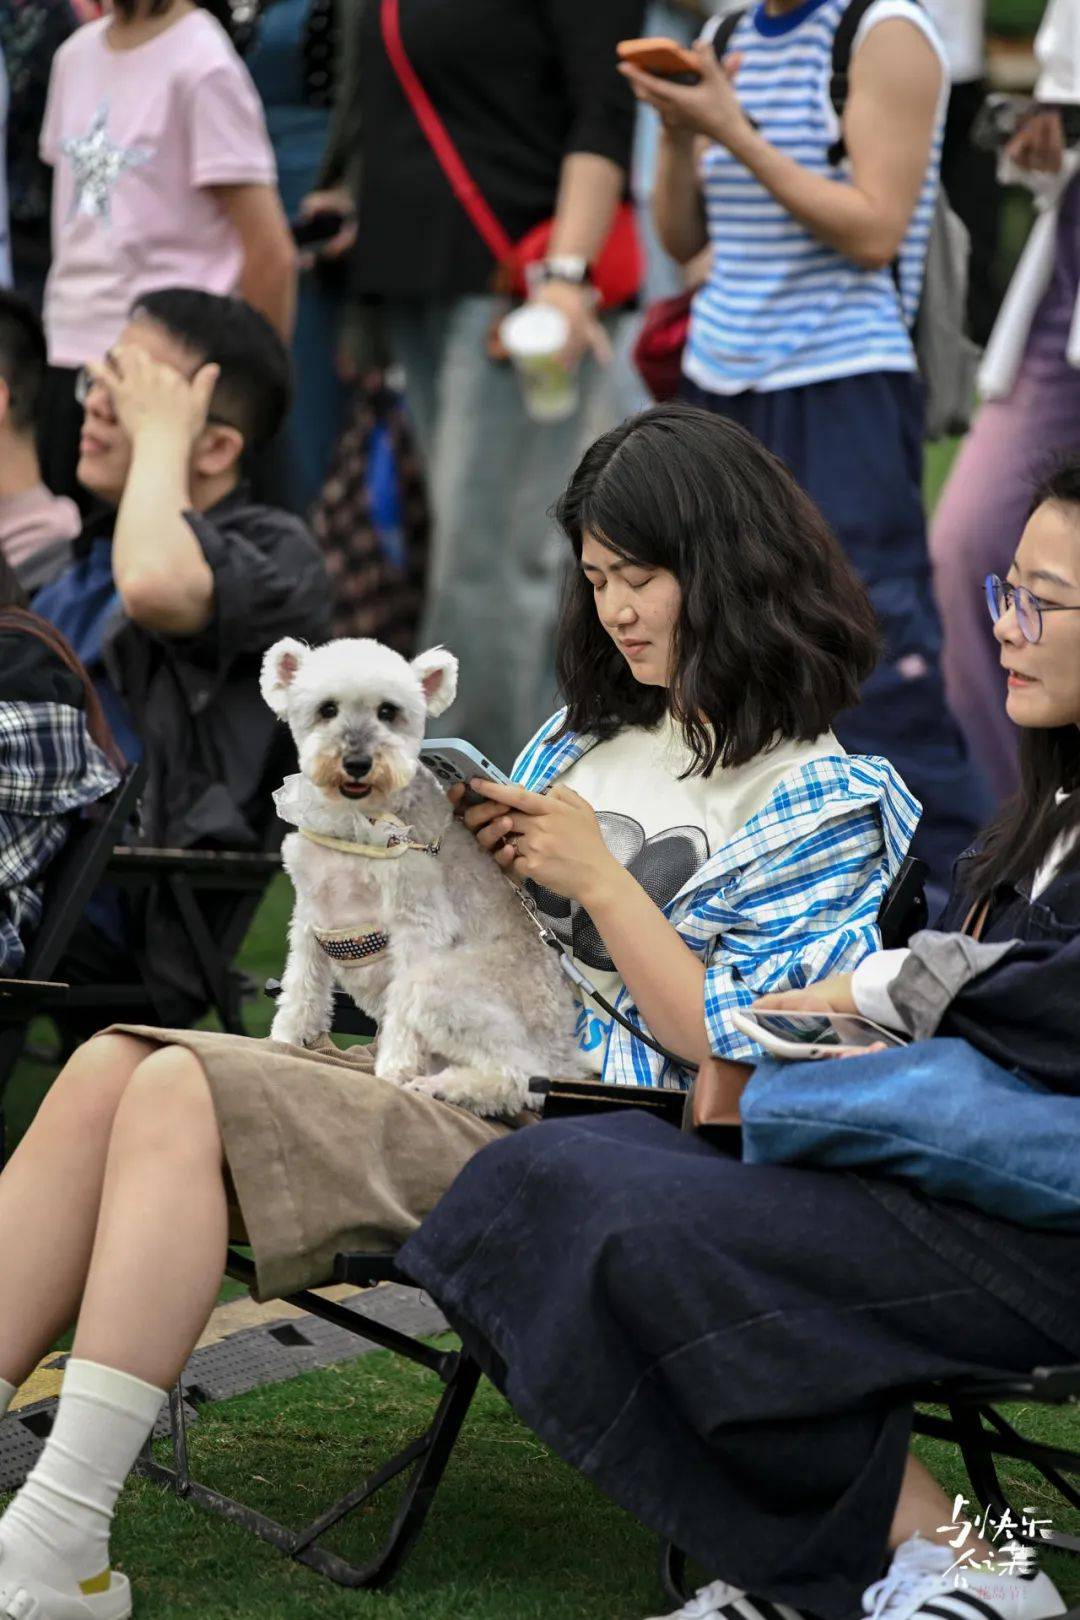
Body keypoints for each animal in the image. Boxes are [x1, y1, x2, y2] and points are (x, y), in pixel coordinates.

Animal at [259, 631, 592, 1114]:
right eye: (327, 709)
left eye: (387, 711)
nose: (357, 762)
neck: (359, 827)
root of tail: (565, 1055)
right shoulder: (309, 920)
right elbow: (300, 991)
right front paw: (283, 1040)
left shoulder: (418, 928)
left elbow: (398, 1022)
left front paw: (392, 1073)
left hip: (438, 988)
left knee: (521, 1078)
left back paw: (441, 1087)